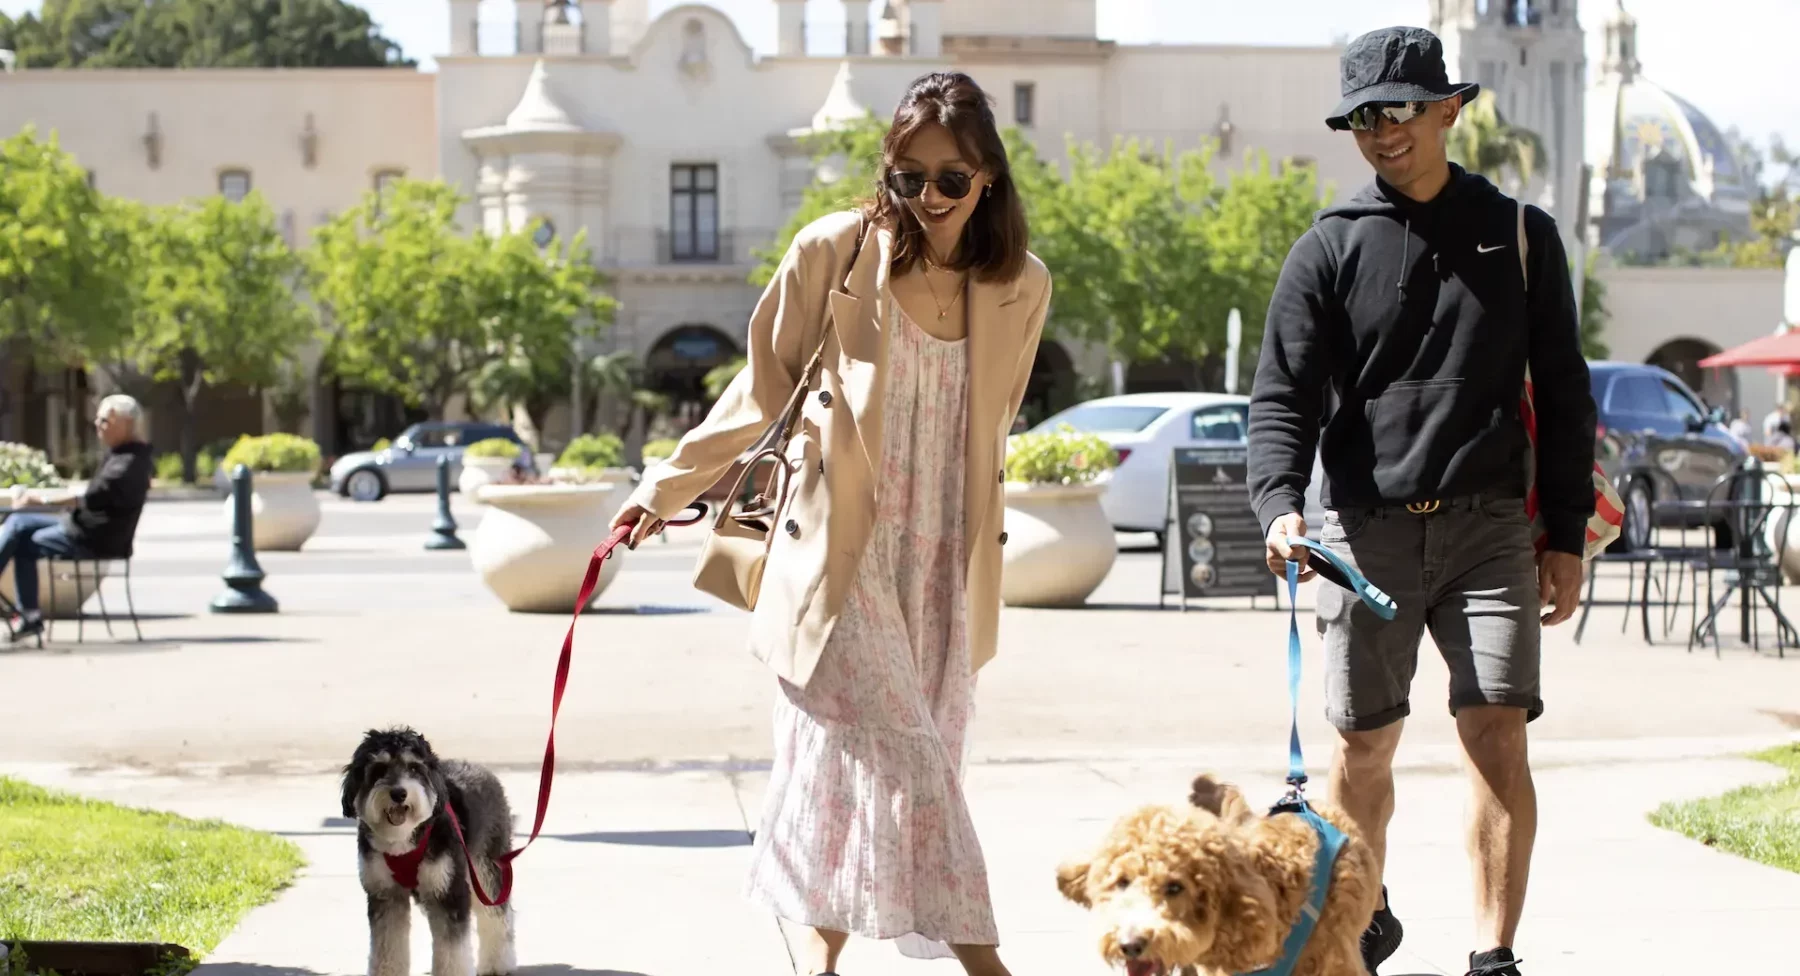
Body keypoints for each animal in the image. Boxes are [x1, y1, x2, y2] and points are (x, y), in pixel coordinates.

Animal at [340, 727, 518, 976]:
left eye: (414, 768)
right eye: (379, 769)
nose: (399, 793)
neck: (403, 840)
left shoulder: (449, 892)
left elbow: (452, 951)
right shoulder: (386, 895)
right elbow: (387, 947)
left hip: (486, 866)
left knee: (497, 917)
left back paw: (497, 965)